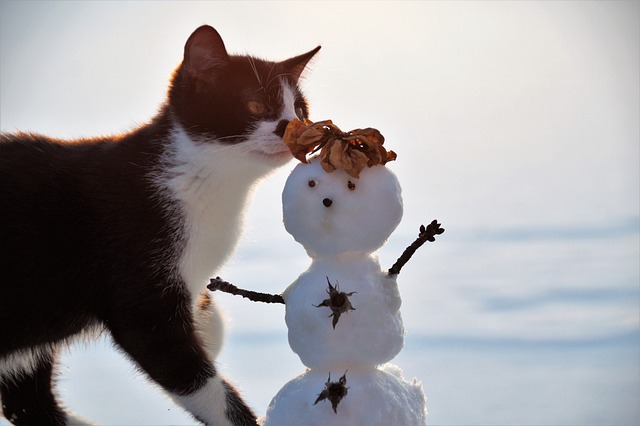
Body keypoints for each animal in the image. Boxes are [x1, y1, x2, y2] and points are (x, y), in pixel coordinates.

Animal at [0, 24, 320, 426]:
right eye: (256, 106)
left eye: (300, 110)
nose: (293, 126)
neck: (208, 182)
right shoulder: (141, 292)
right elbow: (189, 373)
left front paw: (209, 324)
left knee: (30, 403)